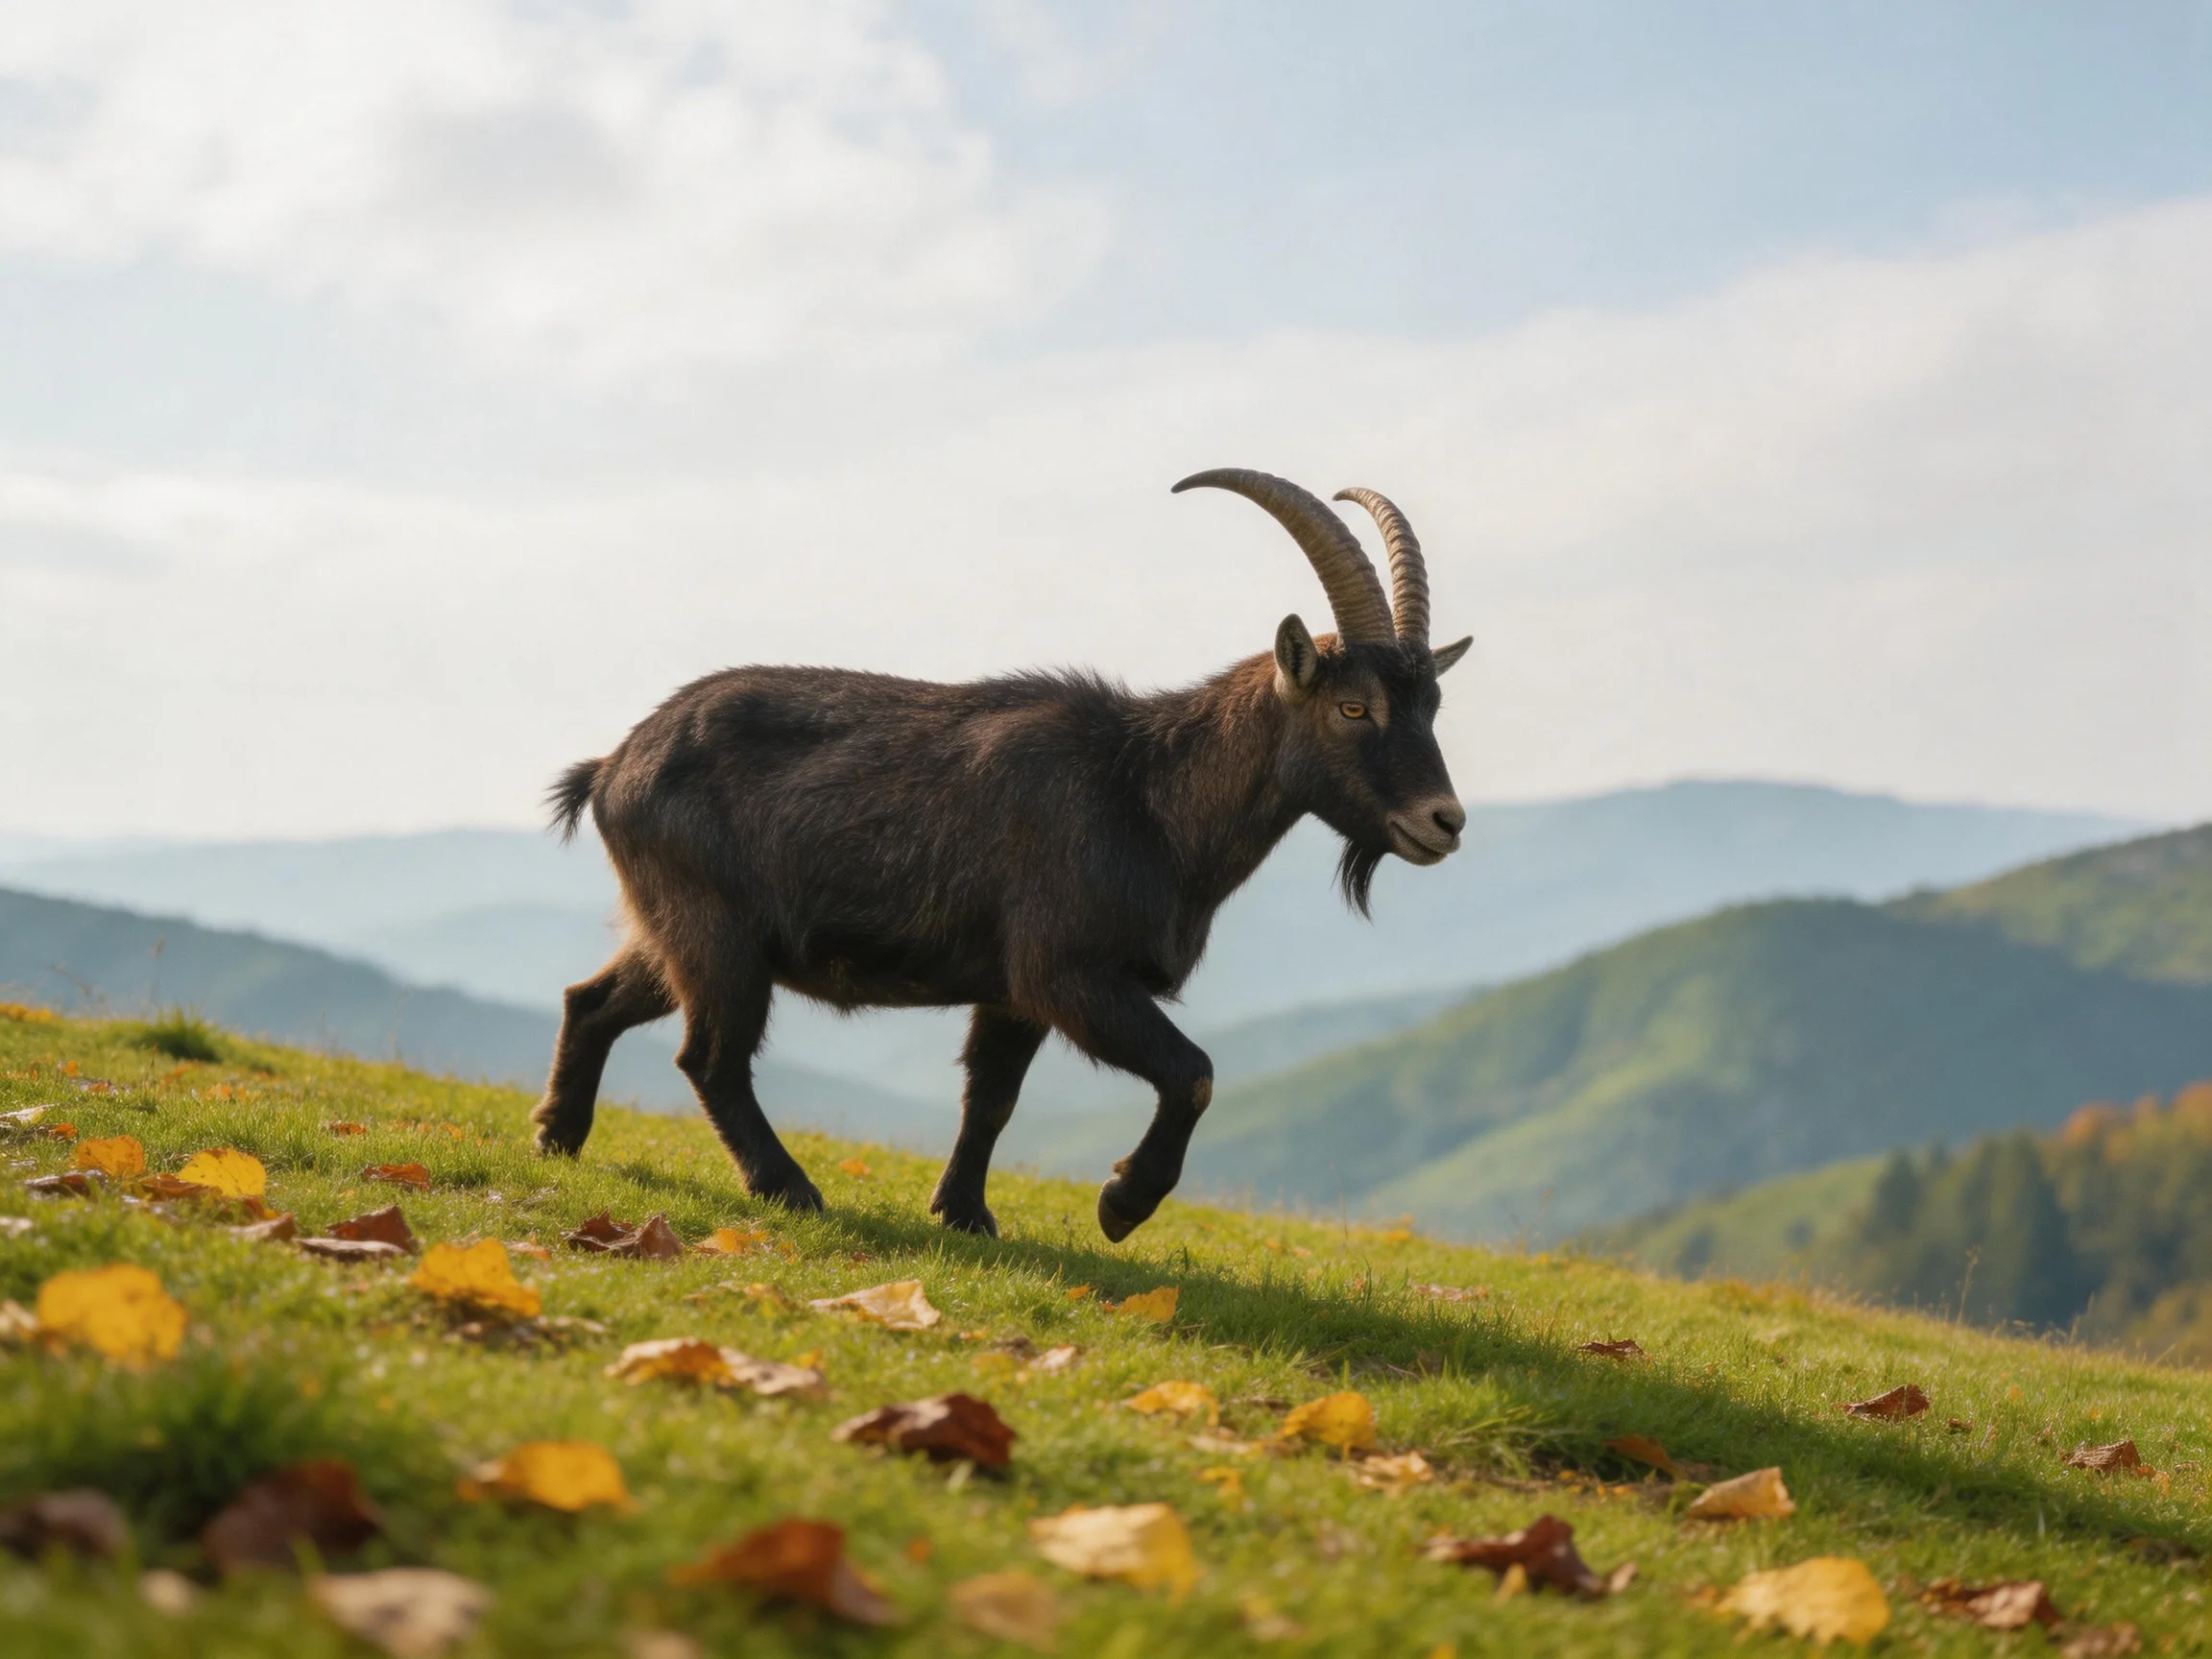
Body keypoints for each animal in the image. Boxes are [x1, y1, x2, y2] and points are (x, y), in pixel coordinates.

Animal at [533, 469, 1472, 1240]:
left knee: (595, 1000)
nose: (1445, 821)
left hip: (677, 928)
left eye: (1432, 704)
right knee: (710, 1058)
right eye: (1353, 707)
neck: (1148, 793)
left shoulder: (1011, 990)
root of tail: (612, 767)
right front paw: (1122, 1203)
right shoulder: (1068, 972)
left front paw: (965, 1215)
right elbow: (1193, 1072)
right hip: (717, 933)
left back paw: (557, 1135)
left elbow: (992, 1097)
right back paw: (787, 1188)